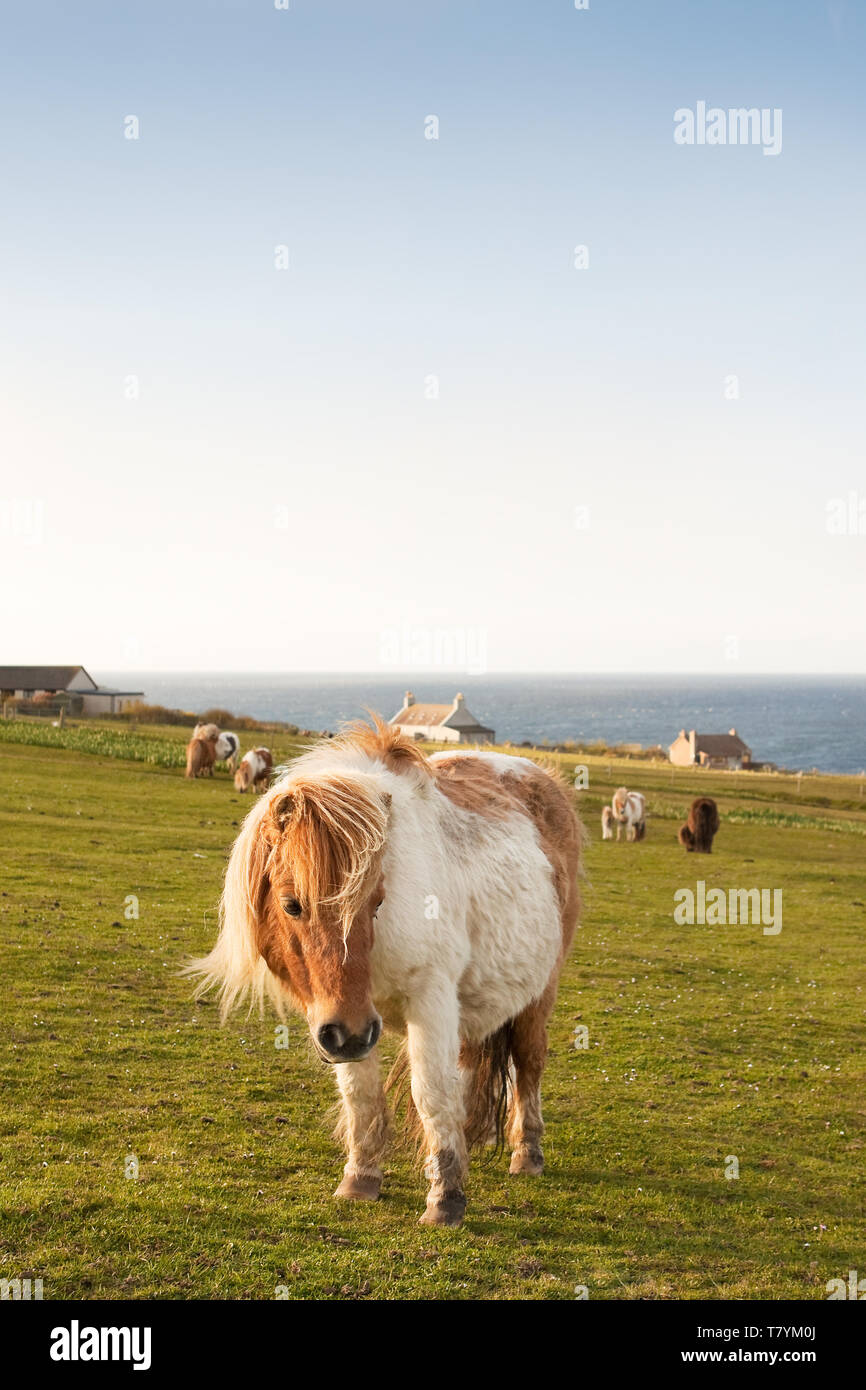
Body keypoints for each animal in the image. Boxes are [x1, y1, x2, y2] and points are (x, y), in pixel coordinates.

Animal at [189, 717, 583, 1228]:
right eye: (292, 904)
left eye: (376, 900)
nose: (351, 1032)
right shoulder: (345, 1020)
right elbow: (362, 1095)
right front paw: (361, 1179)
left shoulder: (426, 1001)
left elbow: (430, 1092)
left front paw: (445, 1200)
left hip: (538, 994)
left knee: (528, 1064)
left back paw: (527, 1153)